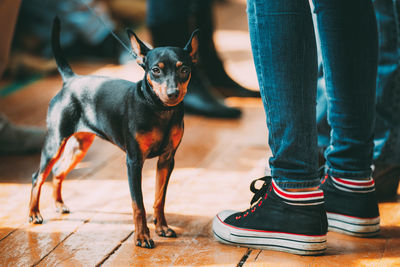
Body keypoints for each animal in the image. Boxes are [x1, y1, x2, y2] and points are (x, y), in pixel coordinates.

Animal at [27, 17, 198, 250]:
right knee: (38, 176)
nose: (173, 93)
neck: (158, 109)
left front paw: (161, 227)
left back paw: (59, 204)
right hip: (55, 143)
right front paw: (142, 237)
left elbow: (159, 199)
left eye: (184, 70)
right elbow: (138, 204)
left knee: (58, 171)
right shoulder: (134, 162)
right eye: (155, 70)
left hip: (79, 147)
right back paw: (34, 213)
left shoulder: (166, 160)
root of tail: (71, 80)